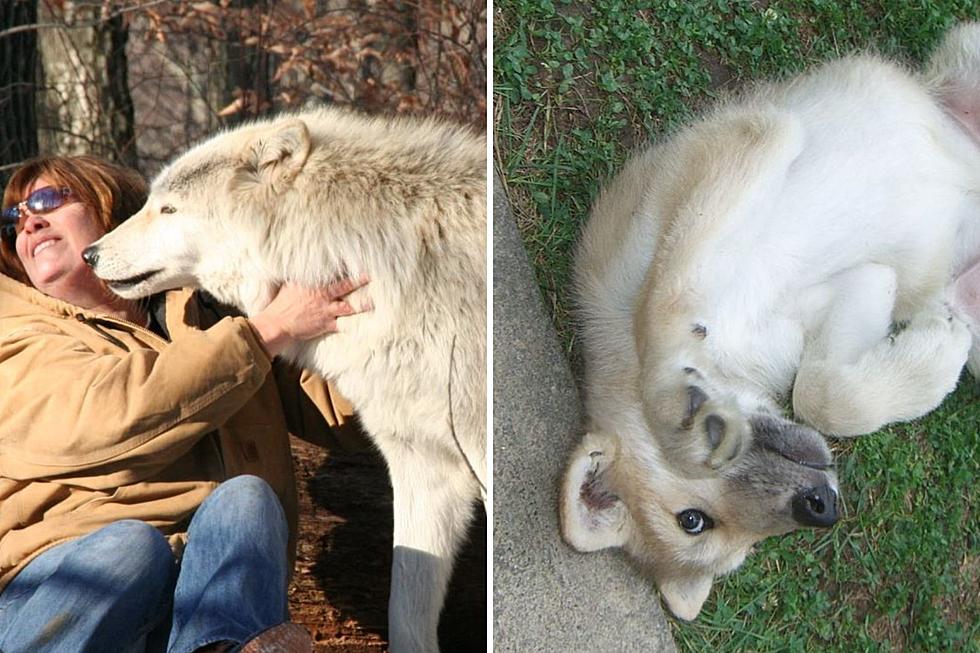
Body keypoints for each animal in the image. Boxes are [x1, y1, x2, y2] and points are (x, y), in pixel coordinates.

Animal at [560, 22, 980, 620]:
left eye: (689, 520)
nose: (820, 507)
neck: (731, 349)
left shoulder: (745, 142)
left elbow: (661, 297)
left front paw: (673, 401)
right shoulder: (861, 286)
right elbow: (823, 394)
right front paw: (934, 355)